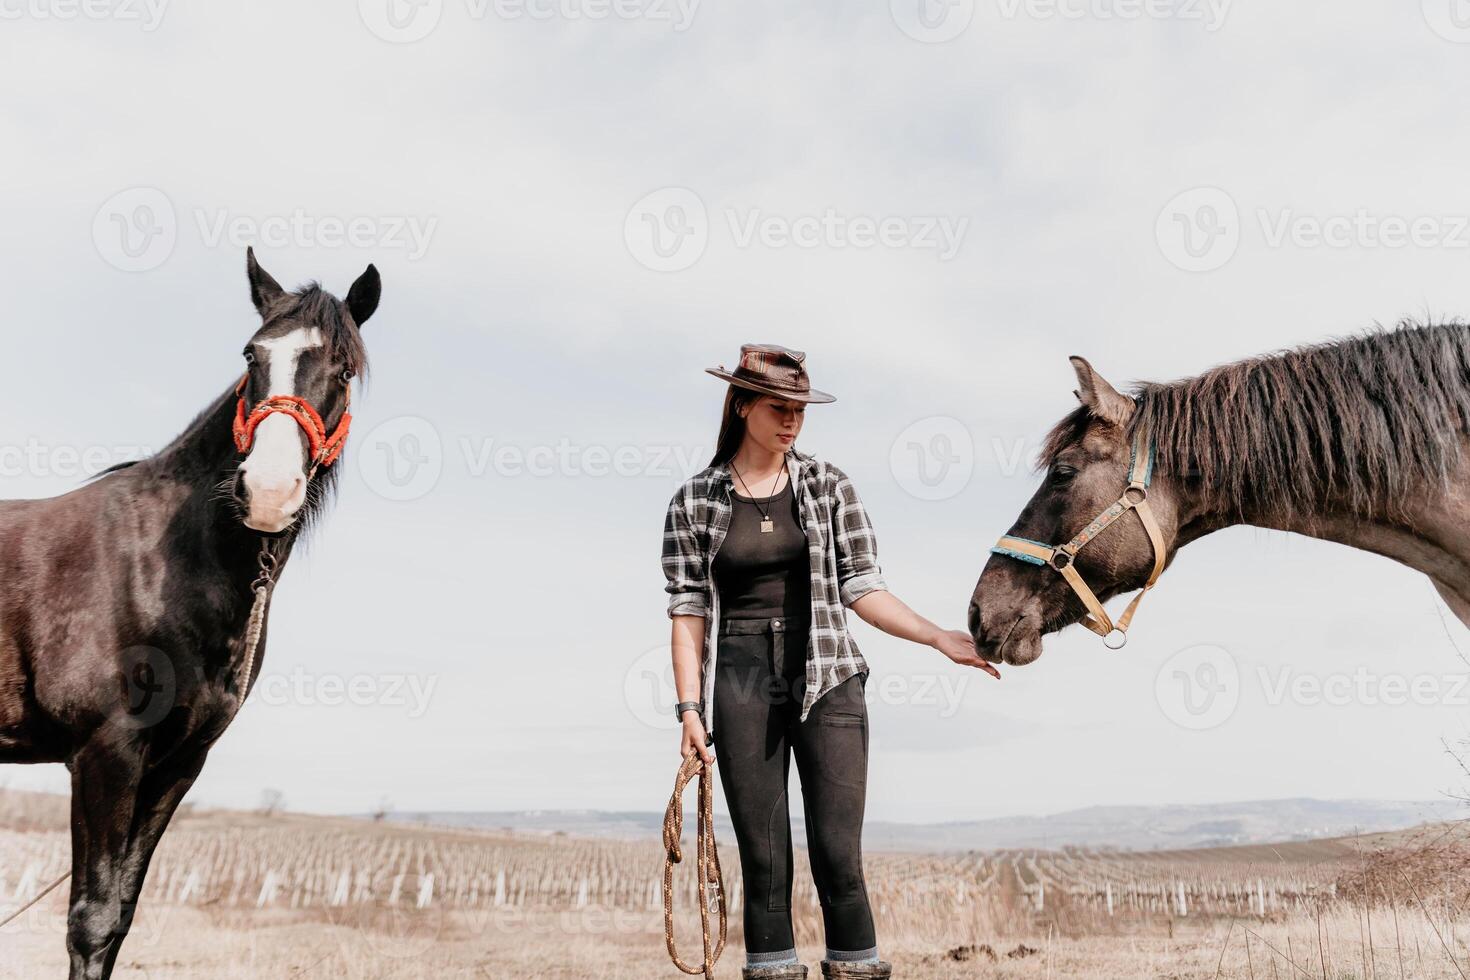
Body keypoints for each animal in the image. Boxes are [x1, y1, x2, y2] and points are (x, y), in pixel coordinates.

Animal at [1, 251, 379, 980]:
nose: (268, 490)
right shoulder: (105, 754)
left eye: (344, 369)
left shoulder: (177, 765)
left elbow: (118, 918)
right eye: (252, 354)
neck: (162, 560)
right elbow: (90, 921)